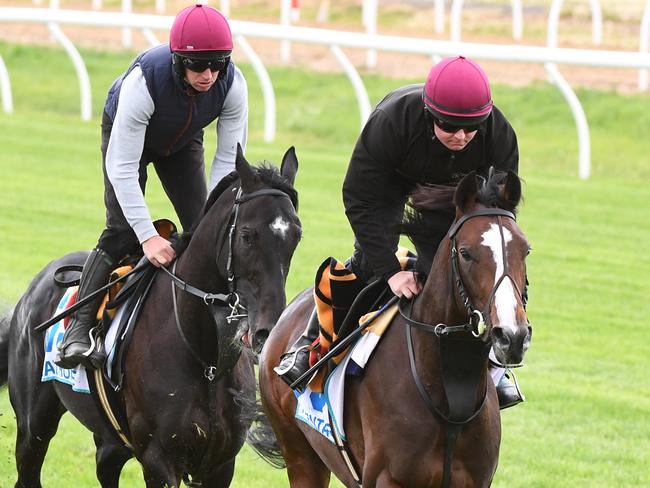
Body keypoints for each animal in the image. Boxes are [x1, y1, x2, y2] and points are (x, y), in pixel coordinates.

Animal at [0, 147, 302, 486]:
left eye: (296, 236)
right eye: (248, 236)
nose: (267, 329)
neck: (205, 358)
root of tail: (36, 284)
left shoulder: (220, 464)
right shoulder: (159, 459)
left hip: (111, 440)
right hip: (34, 424)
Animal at [256, 170, 532, 486]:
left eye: (525, 250)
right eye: (466, 253)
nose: (512, 337)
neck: (448, 389)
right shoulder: (388, 478)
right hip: (300, 455)